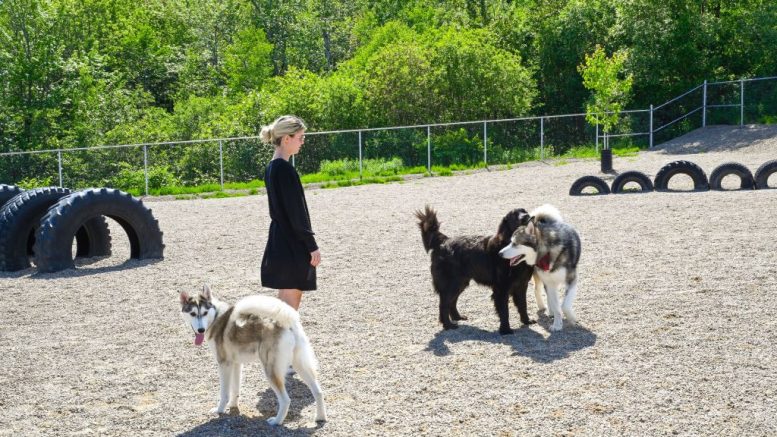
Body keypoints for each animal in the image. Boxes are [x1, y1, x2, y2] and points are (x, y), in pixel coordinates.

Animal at [180, 284, 326, 424]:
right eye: (193, 314)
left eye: (204, 313)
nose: (200, 330)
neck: (215, 317)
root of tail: (287, 322)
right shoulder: (236, 364)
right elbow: (235, 389)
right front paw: (233, 406)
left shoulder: (224, 364)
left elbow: (224, 393)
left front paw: (220, 410)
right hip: (299, 365)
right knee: (318, 392)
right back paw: (320, 418)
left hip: (270, 370)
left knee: (286, 400)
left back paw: (276, 421)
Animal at [416, 204, 536, 334]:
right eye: (513, 215)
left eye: (524, 211)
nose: (527, 217)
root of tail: (443, 241)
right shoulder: (501, 288)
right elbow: (504, 311)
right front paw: (505, 330)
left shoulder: (522, 285)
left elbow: (523, 305)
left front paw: (526, 321)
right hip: (452, 283)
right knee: (444, 304)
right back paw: (448, 325)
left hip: (460, 282)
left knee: (452, 301)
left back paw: (457, 317)